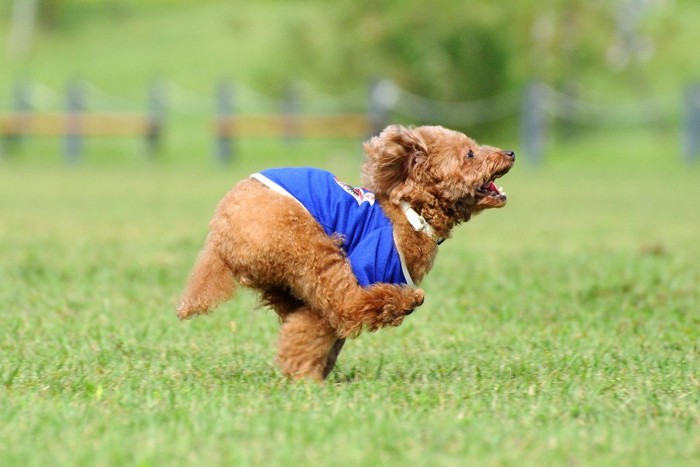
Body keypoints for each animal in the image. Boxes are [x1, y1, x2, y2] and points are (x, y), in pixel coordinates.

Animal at [175, 124, 516, 380]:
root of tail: (221, 232)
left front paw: (308, 370)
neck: (411, 213)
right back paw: (407, 301)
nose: (510, 153)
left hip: (284, 277)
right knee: (345, 303)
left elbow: (314, 328)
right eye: (470, 153)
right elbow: (331, 318)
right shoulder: (370, 263)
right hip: (308, 246)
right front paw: (304, 376)